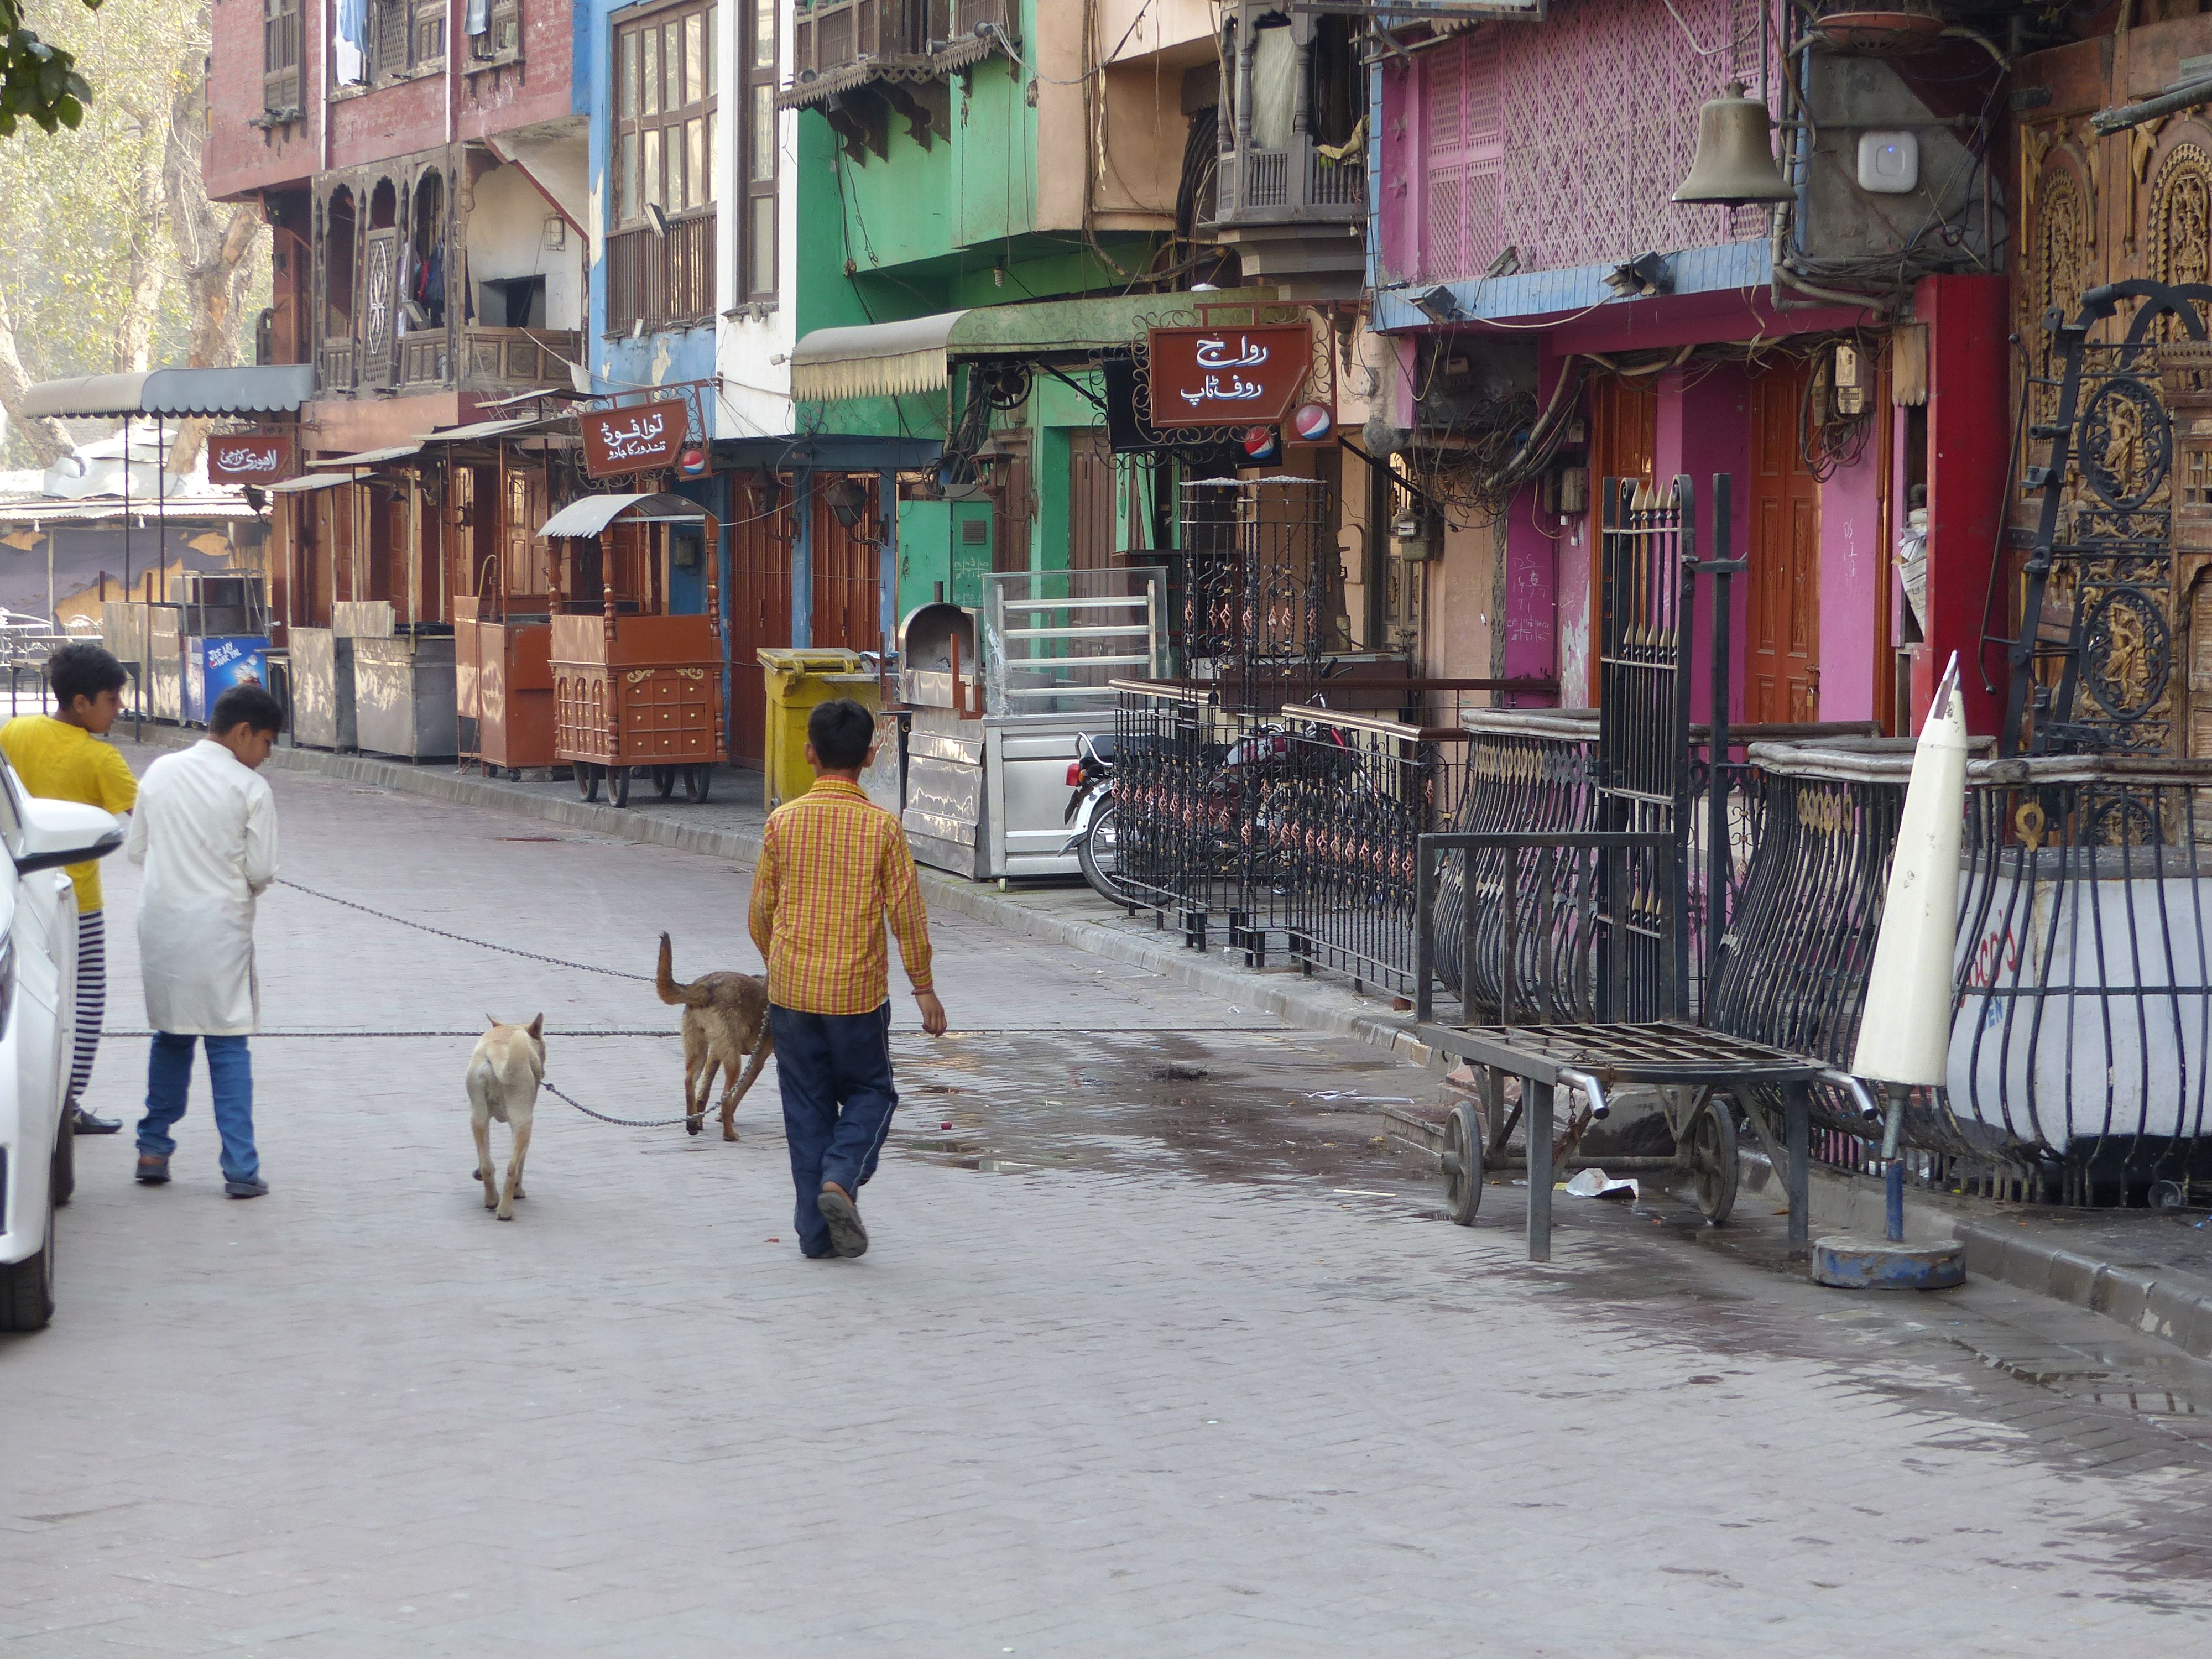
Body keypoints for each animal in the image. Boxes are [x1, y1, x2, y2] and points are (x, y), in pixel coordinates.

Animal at [469, 1013, 546, 1221]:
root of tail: (496, 1052)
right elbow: (521, 1162)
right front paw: (519, 1192)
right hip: (524, 1123)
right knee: (513, 1167)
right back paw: (505, 1210)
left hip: (478, 1117)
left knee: (487, 1164)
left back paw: (492, 1200)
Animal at [650, 938, 774, 1141]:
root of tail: (706, 988)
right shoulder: (757, 1062)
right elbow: (737, 1094)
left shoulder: (716, 1052)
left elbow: (705, 1093)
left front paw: (701, 1121)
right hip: (734, 1062)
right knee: (725, 1097)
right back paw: (729, 1134)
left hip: (699, 1051)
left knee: (690, 1082)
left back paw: (692, 1125)